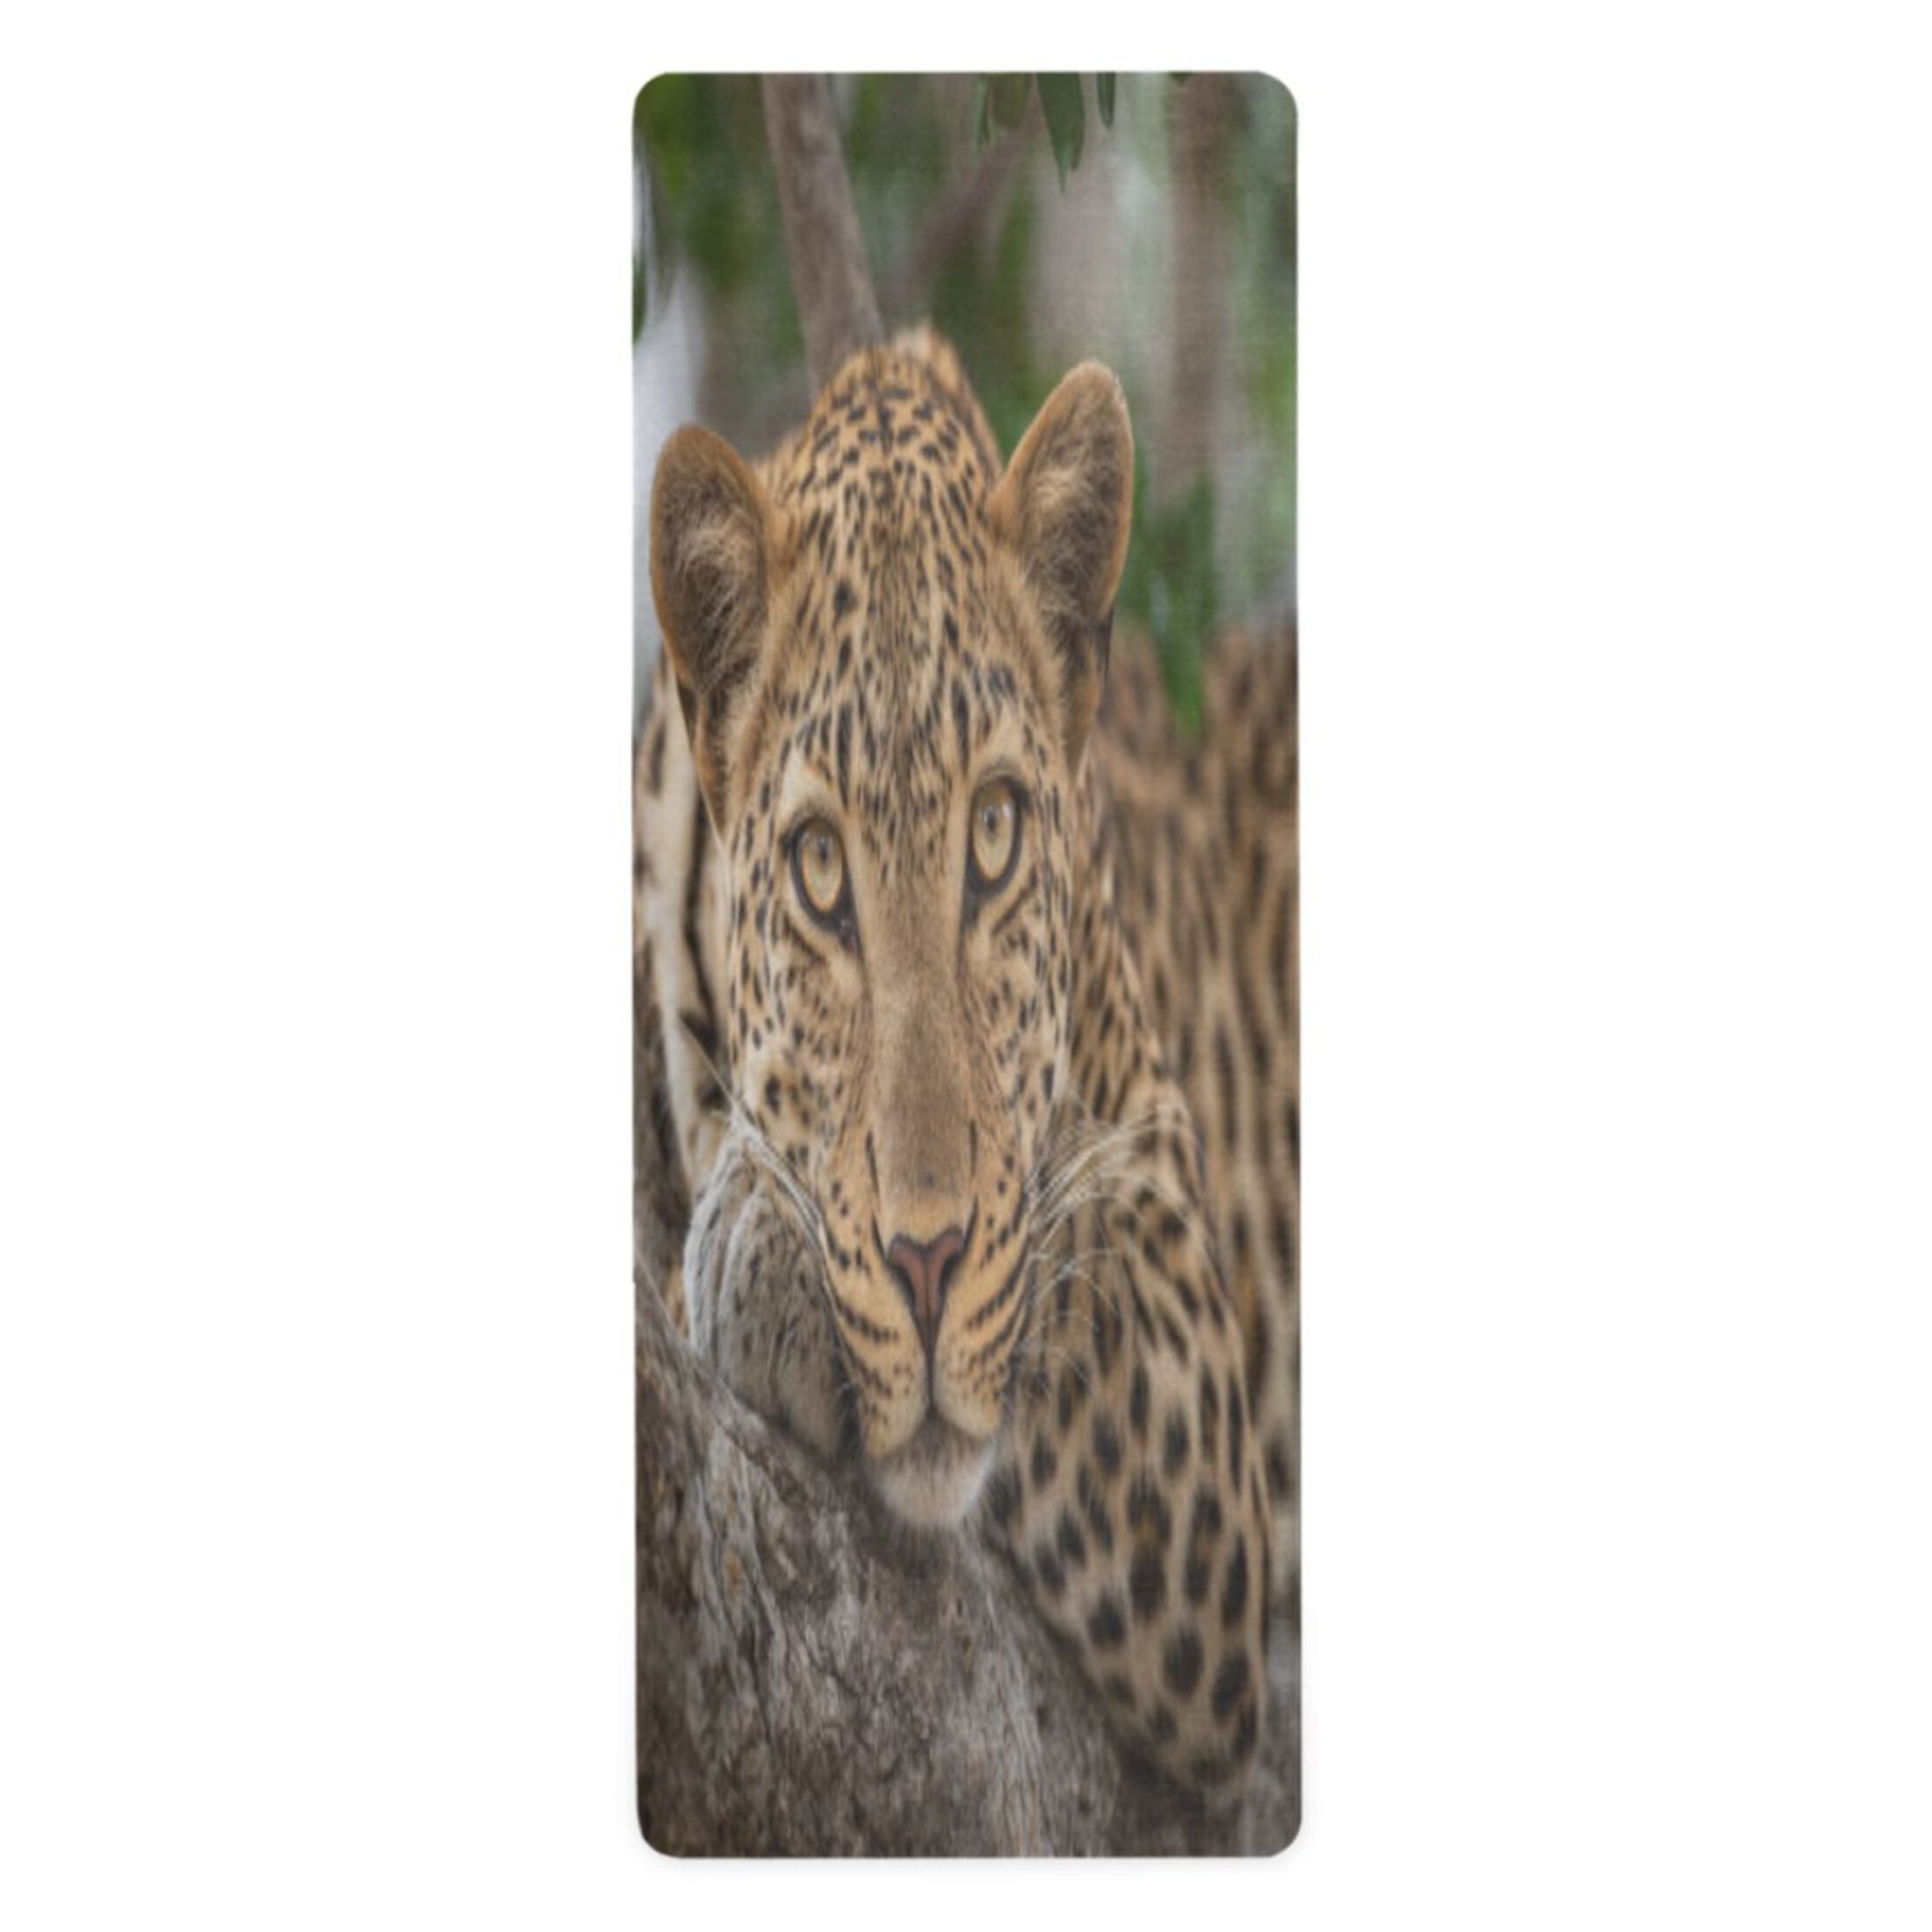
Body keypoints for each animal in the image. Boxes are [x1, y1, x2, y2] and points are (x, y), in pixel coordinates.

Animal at [633, 325, 1297, 1796]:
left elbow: (1047, 1268)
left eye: (995, 835)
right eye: (820, 868)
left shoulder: (1182, 1356)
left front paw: (764, 1252)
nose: (923, 1261)